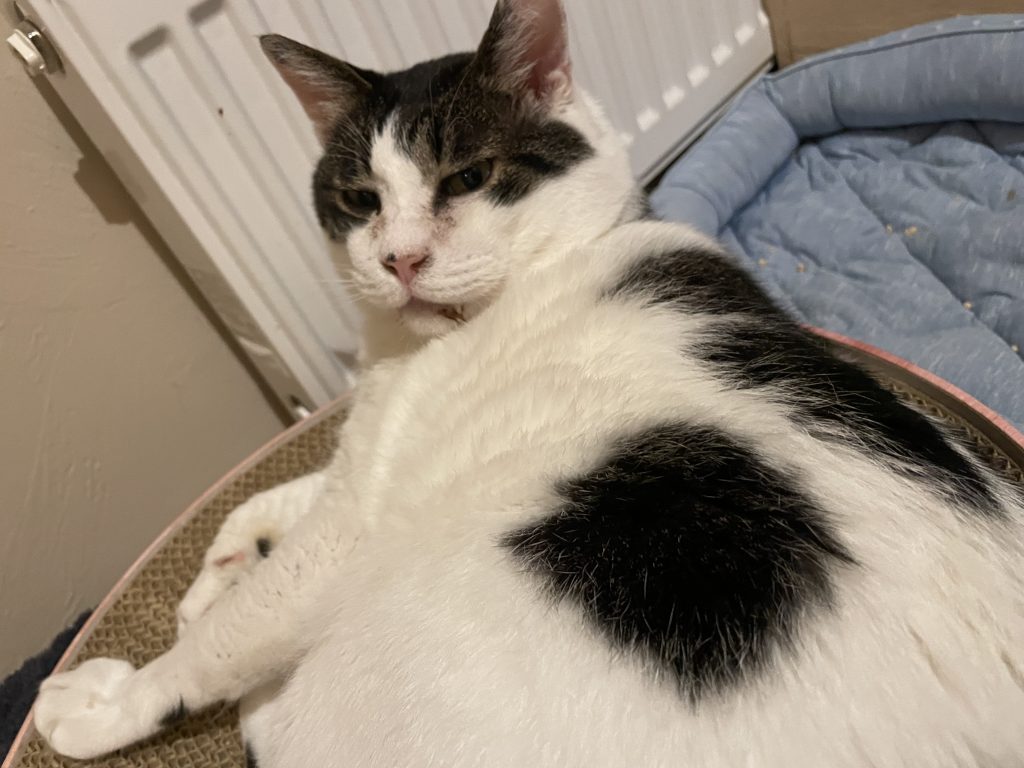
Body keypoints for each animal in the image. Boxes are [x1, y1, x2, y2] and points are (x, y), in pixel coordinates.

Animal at [33, 1, 1024, 766]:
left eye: (468, 178)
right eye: (360, 200)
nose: (399, 259)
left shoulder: (357, 528)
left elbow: (231, 631)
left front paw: (108, 700)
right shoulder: (372, 458)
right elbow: (276, 492)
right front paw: (221, 565)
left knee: (285, 723)